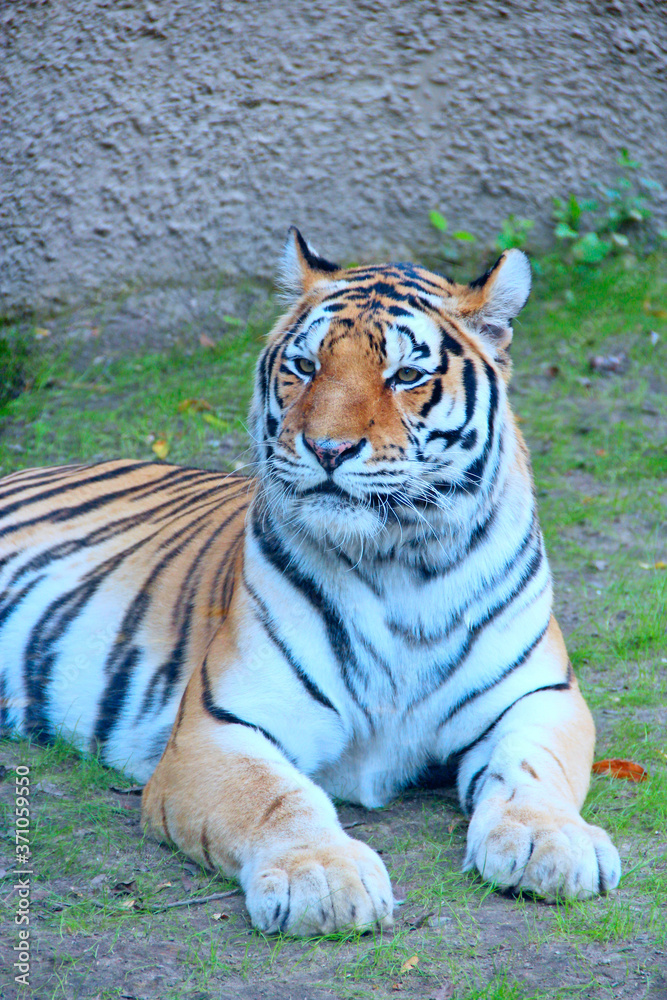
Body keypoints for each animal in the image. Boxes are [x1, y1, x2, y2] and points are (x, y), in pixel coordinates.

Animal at [0, 228, 621, 935]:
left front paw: (551, 841)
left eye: (406, 376)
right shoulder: (218, 726)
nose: (328, 449)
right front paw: (320, 875)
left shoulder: (540, 696)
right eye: (303, 366)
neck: (400, 563)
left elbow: (533, 768)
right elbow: (275, 798)